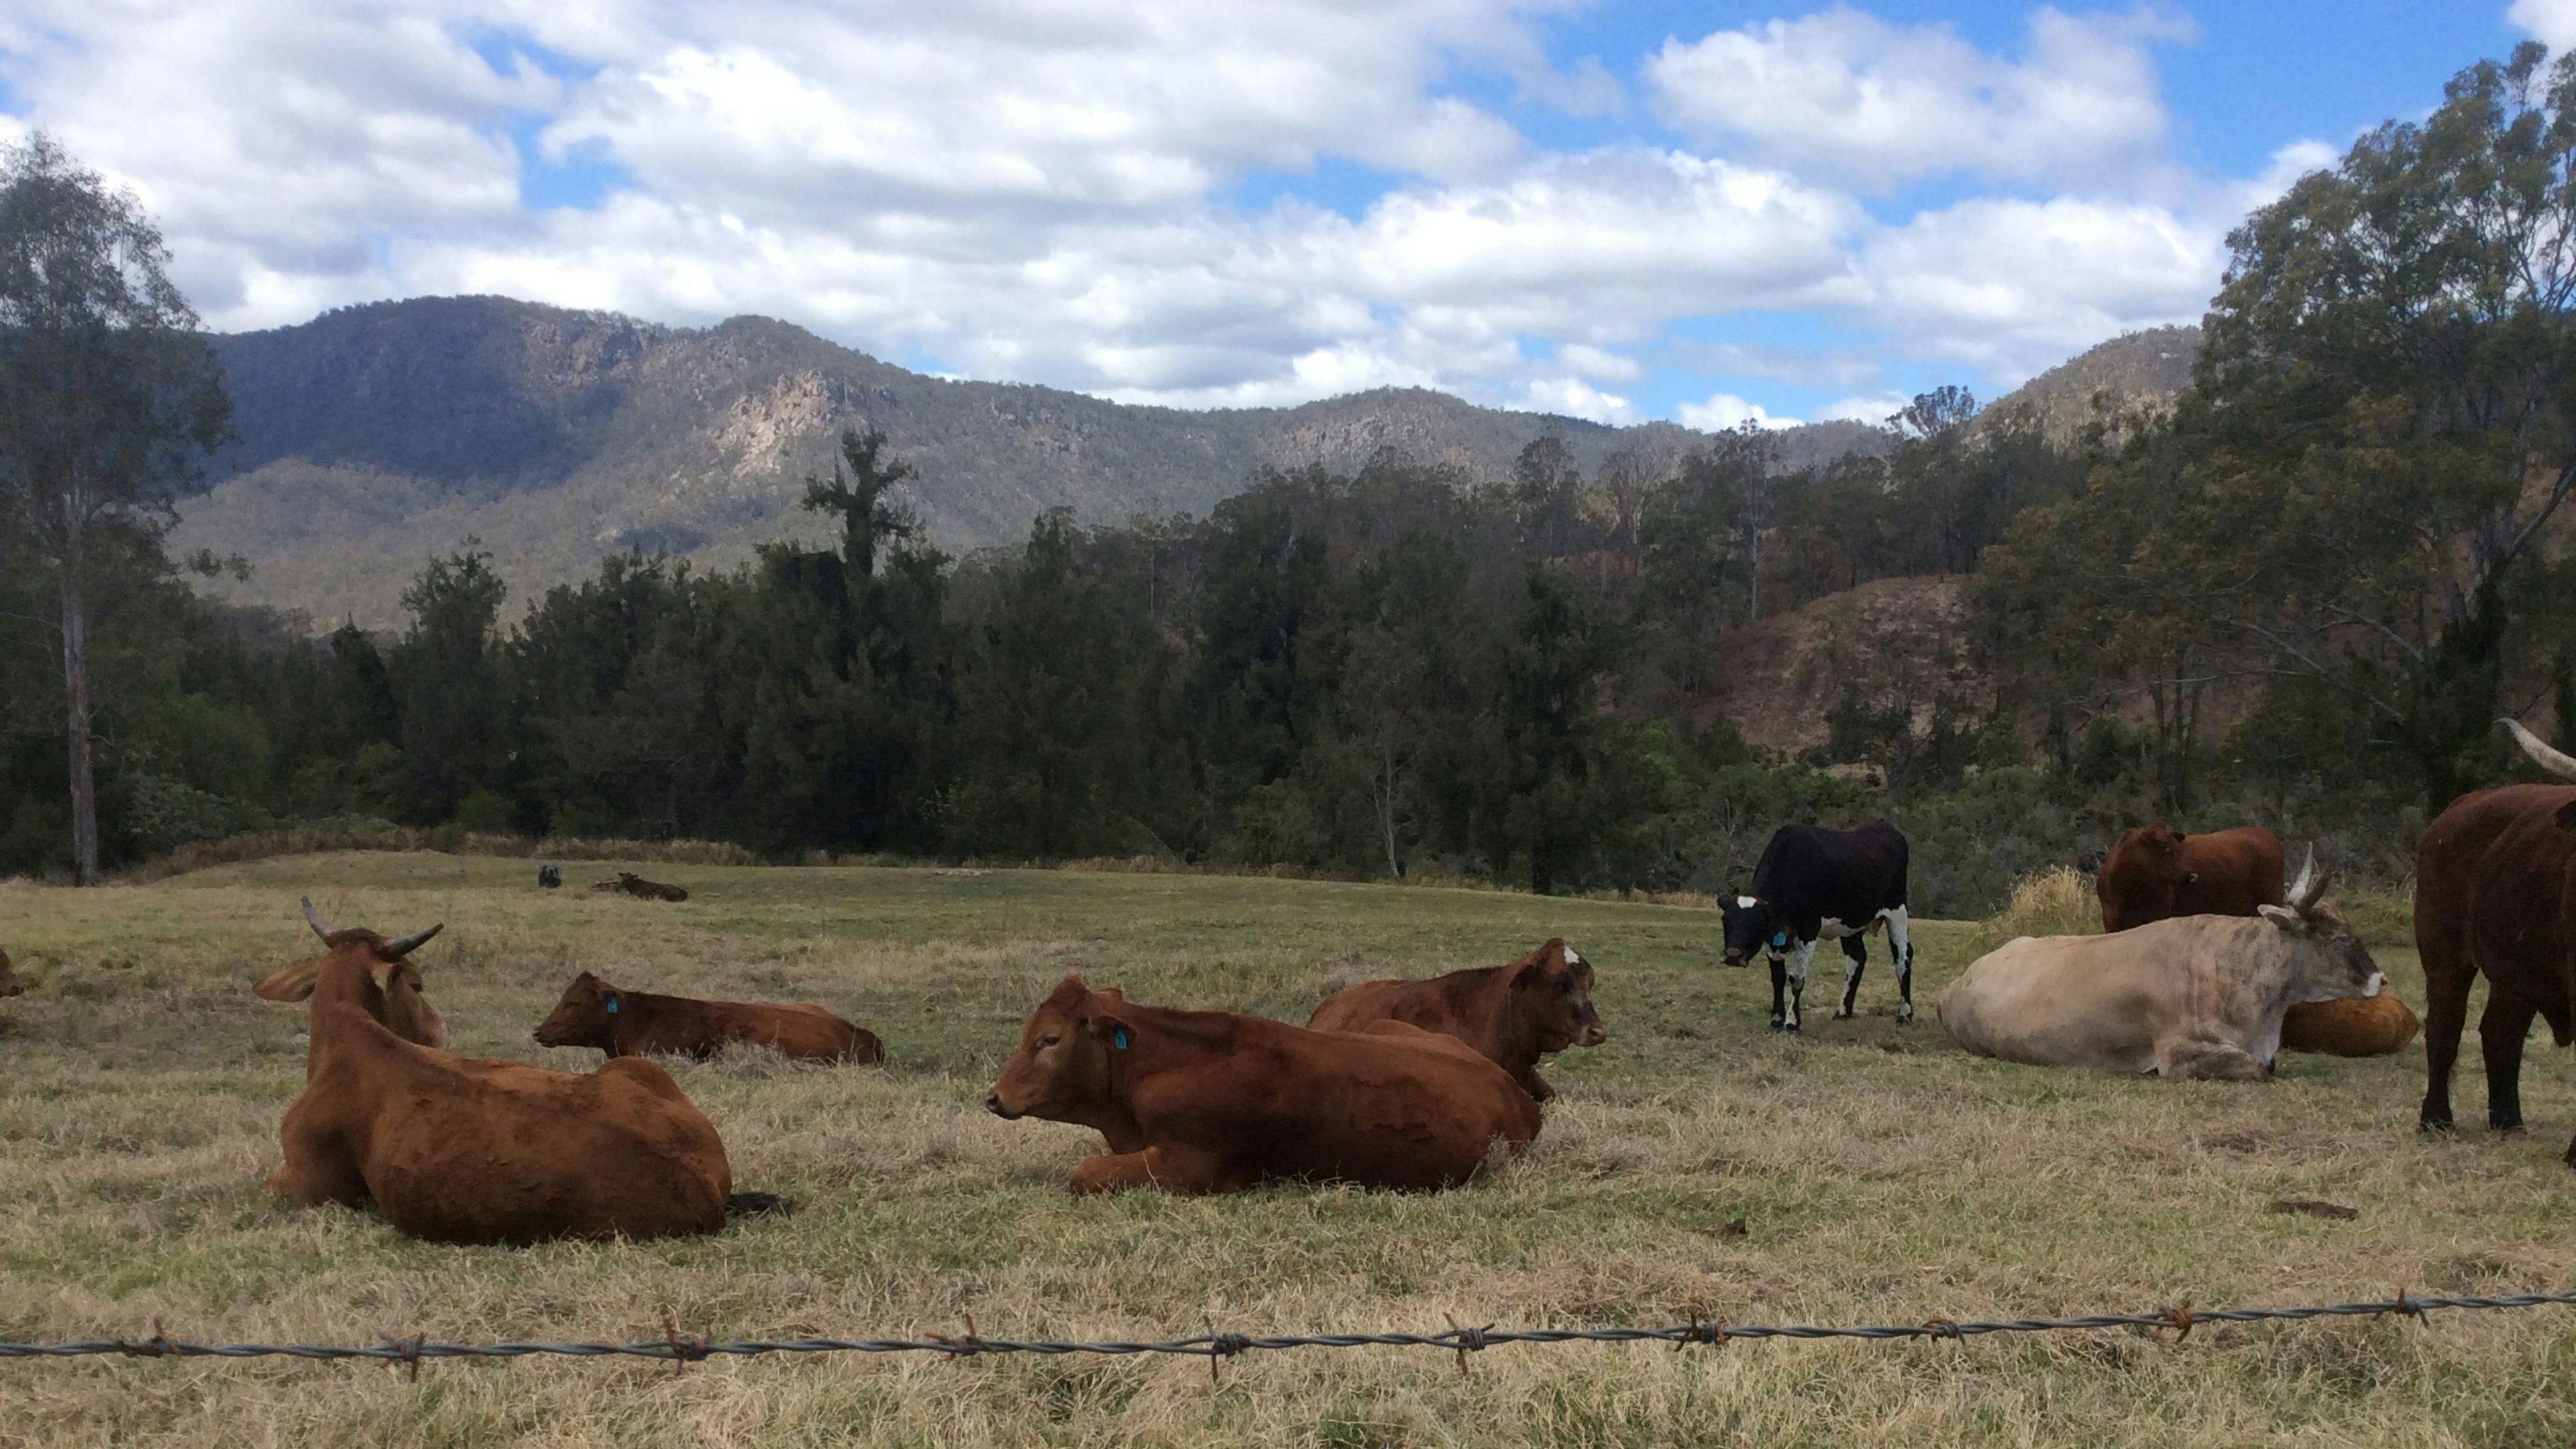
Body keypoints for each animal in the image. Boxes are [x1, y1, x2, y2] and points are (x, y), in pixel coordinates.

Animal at [255, 899, 771, 1243]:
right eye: (416, 986)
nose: (439, 1031)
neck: (347, 1034)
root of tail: (704, 1183)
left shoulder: (308, 1186)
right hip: (638, 1066)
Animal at [1718, 821, 1915, 1032]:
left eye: (1757, 925)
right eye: (1726, 920)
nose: (1733, 955)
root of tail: (1885, 827)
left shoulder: (1808, 931)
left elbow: (1796, 978)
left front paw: (1792, 1023)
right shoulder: (1774, 941)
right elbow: (1778, 978)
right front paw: (1777, 1020)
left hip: (1897, 912)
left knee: (1903, 958)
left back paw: (1905, 1014)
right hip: (1850, 924)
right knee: (1857, 958)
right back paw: (1843, 1011)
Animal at [2097, 823, 2286, 932]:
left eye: (2175, 848)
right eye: (2164, 847)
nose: (2191, 875)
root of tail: (2266, 834)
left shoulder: (2159, 914)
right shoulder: (2111, 920)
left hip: (2271, 897)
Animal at [2416, 720, 2576, 1166]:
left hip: (2514, 970)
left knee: (2500, 1032)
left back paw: (2508, 1122)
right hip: (2444, 955)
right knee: (2445, 1028)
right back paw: (2436, 1119)